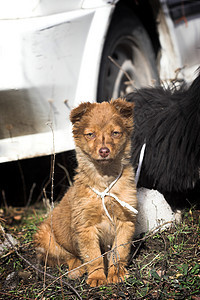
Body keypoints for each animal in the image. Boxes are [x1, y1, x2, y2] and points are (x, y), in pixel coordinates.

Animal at [34, 98, 138, 286]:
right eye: (90, 134)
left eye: (115, 133)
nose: (104, 151)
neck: (104, 181)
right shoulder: (85, 226)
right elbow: (93, 255)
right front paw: (97, 277)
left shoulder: (126, 221)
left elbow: (119, 251)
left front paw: (116, 273)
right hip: (46, 237)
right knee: (66, 257)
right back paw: (77, 269)